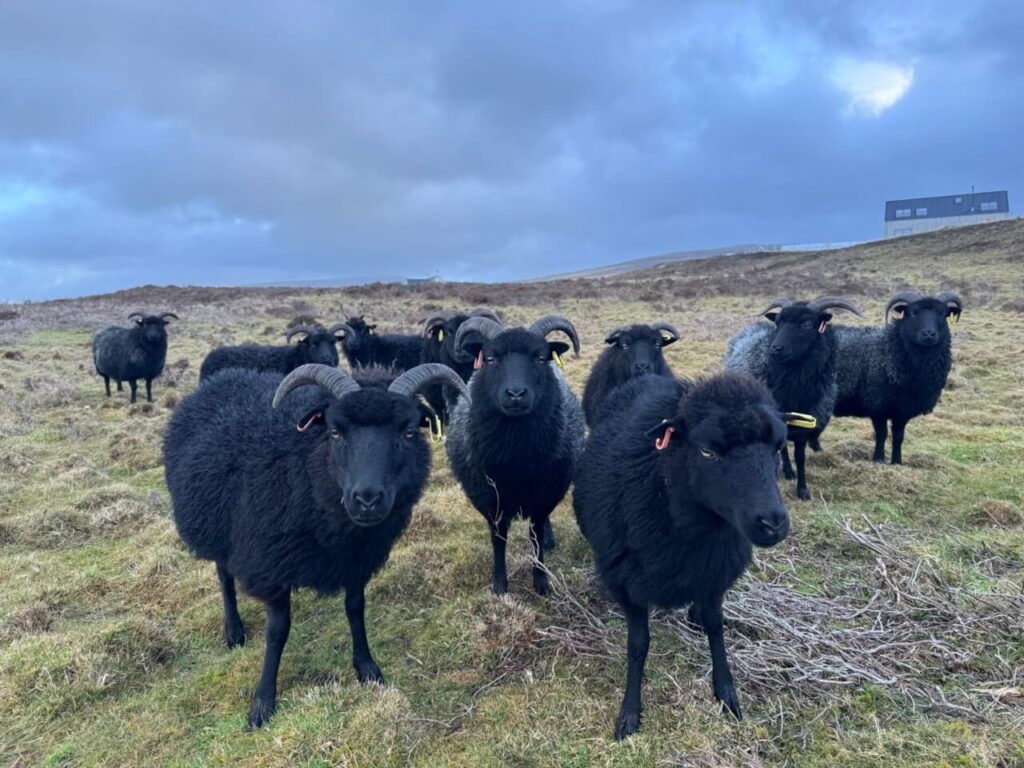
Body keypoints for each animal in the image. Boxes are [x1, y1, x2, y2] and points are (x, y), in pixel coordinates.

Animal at [164, 362, 468, 727]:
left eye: (408, 432)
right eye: (335, 432)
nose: (367, 499)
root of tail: (221, 378)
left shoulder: (357, 560)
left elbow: (355, 609)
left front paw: (367, 668)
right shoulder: (271, 563)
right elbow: (277, 631)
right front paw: (263, 703)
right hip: (217, 528)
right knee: (224, 576)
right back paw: (234, 631)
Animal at [445, 314, 584, 594]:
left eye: (540, 358)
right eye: (490, 358)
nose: (516, 394)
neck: (516, 458)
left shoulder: (545, 492)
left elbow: (536, 534)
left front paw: (541, 581)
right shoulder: (490, 499)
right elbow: (498, 539)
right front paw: (500, 586)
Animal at [573, 372, 806, 739]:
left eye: (779, 447)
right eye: (707, 451)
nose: (772, 523)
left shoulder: (713, 573)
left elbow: (715, 626)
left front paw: (726, 693)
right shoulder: (627, 580)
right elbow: (638, 645)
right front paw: (630, 712)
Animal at [724, 297, 862, 500]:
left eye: (807, 324)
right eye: (778, 322)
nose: (775, 348)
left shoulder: (806, 423)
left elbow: (800, 456)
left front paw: (803, 490)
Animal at [832, 291, 962, 465]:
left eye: (942, 313)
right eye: (913, 313)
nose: (929, 334)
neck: (888, 351)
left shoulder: (903, 410)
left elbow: (899, 437)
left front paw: (897, 462)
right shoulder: (878, 406)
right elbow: (881, 434)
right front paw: (879, 460)